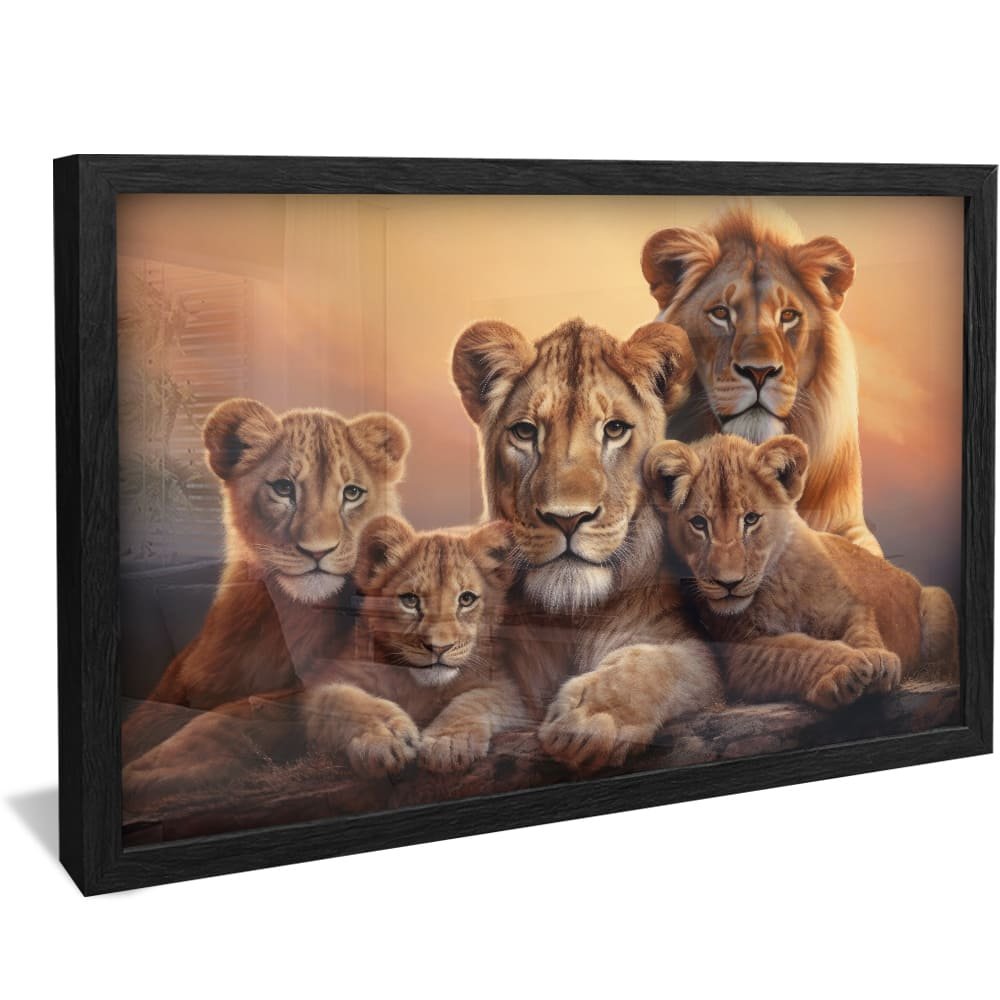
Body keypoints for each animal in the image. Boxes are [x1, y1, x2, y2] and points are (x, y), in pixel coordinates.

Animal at [304, 516, 525, 776]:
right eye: (410, 600)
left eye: (466, 599)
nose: (439, 648)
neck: (418, 687)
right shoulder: (320, 684)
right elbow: (344, 699)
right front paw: (387, 737)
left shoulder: (509, 689)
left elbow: (477, 699)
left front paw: (448, 744)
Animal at [452, 317, 722, 770]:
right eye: (524, 432)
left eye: (614, 429)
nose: (567, 518)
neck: (572, 619)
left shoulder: (699, 657)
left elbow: (663, 663)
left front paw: (591, 719)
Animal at [644, 433, 958, 709]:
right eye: (699, 523)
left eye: (751, 519)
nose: (728, 583)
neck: (776, 585)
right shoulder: (736, 652)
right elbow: (797, 651)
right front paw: (845, 667)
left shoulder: (849, 607)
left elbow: (863, 631)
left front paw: (879, 659)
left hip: (938, 600)